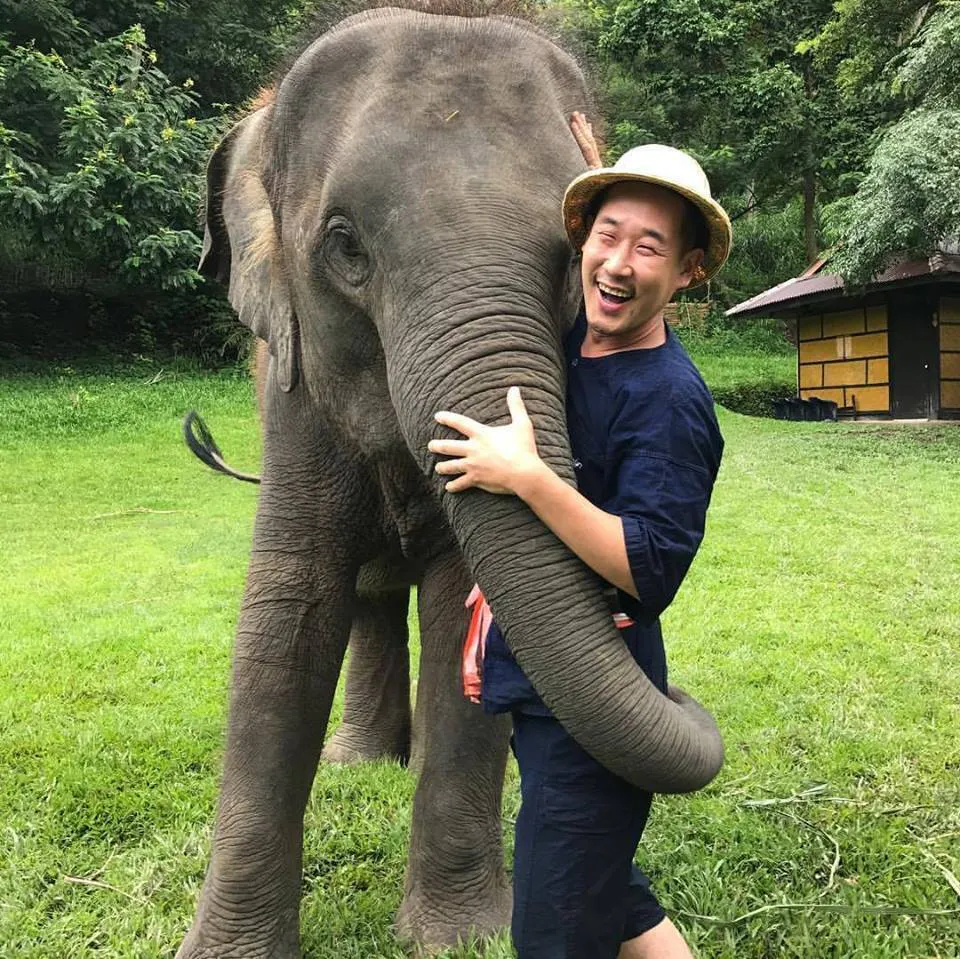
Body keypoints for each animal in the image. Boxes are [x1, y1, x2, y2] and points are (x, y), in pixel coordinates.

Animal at [176, 5, 724, 957]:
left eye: (571, 250)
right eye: (345, 244)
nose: (679, 693)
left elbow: (465, 600)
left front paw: (459, 937)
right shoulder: (295, 397)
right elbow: (287, 614)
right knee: (365, 595)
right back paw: (361, 762)